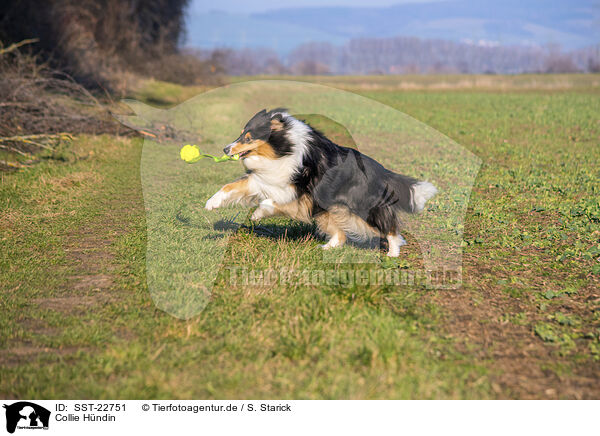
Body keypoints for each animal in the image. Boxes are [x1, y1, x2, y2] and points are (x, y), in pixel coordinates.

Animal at [205, 109, 436, 258]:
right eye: (241, 135)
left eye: (248, 137)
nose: (225, 149)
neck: (283, 149)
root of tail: (383, 172)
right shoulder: (266, 179)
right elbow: (232, 187)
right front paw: (211, 203)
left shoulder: (299, 192)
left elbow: (270, 203)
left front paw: (257, 214)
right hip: (330, 210)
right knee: (340, 234)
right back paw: (327, 248)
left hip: (360, 207)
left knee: (390, 228)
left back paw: (392, 253)